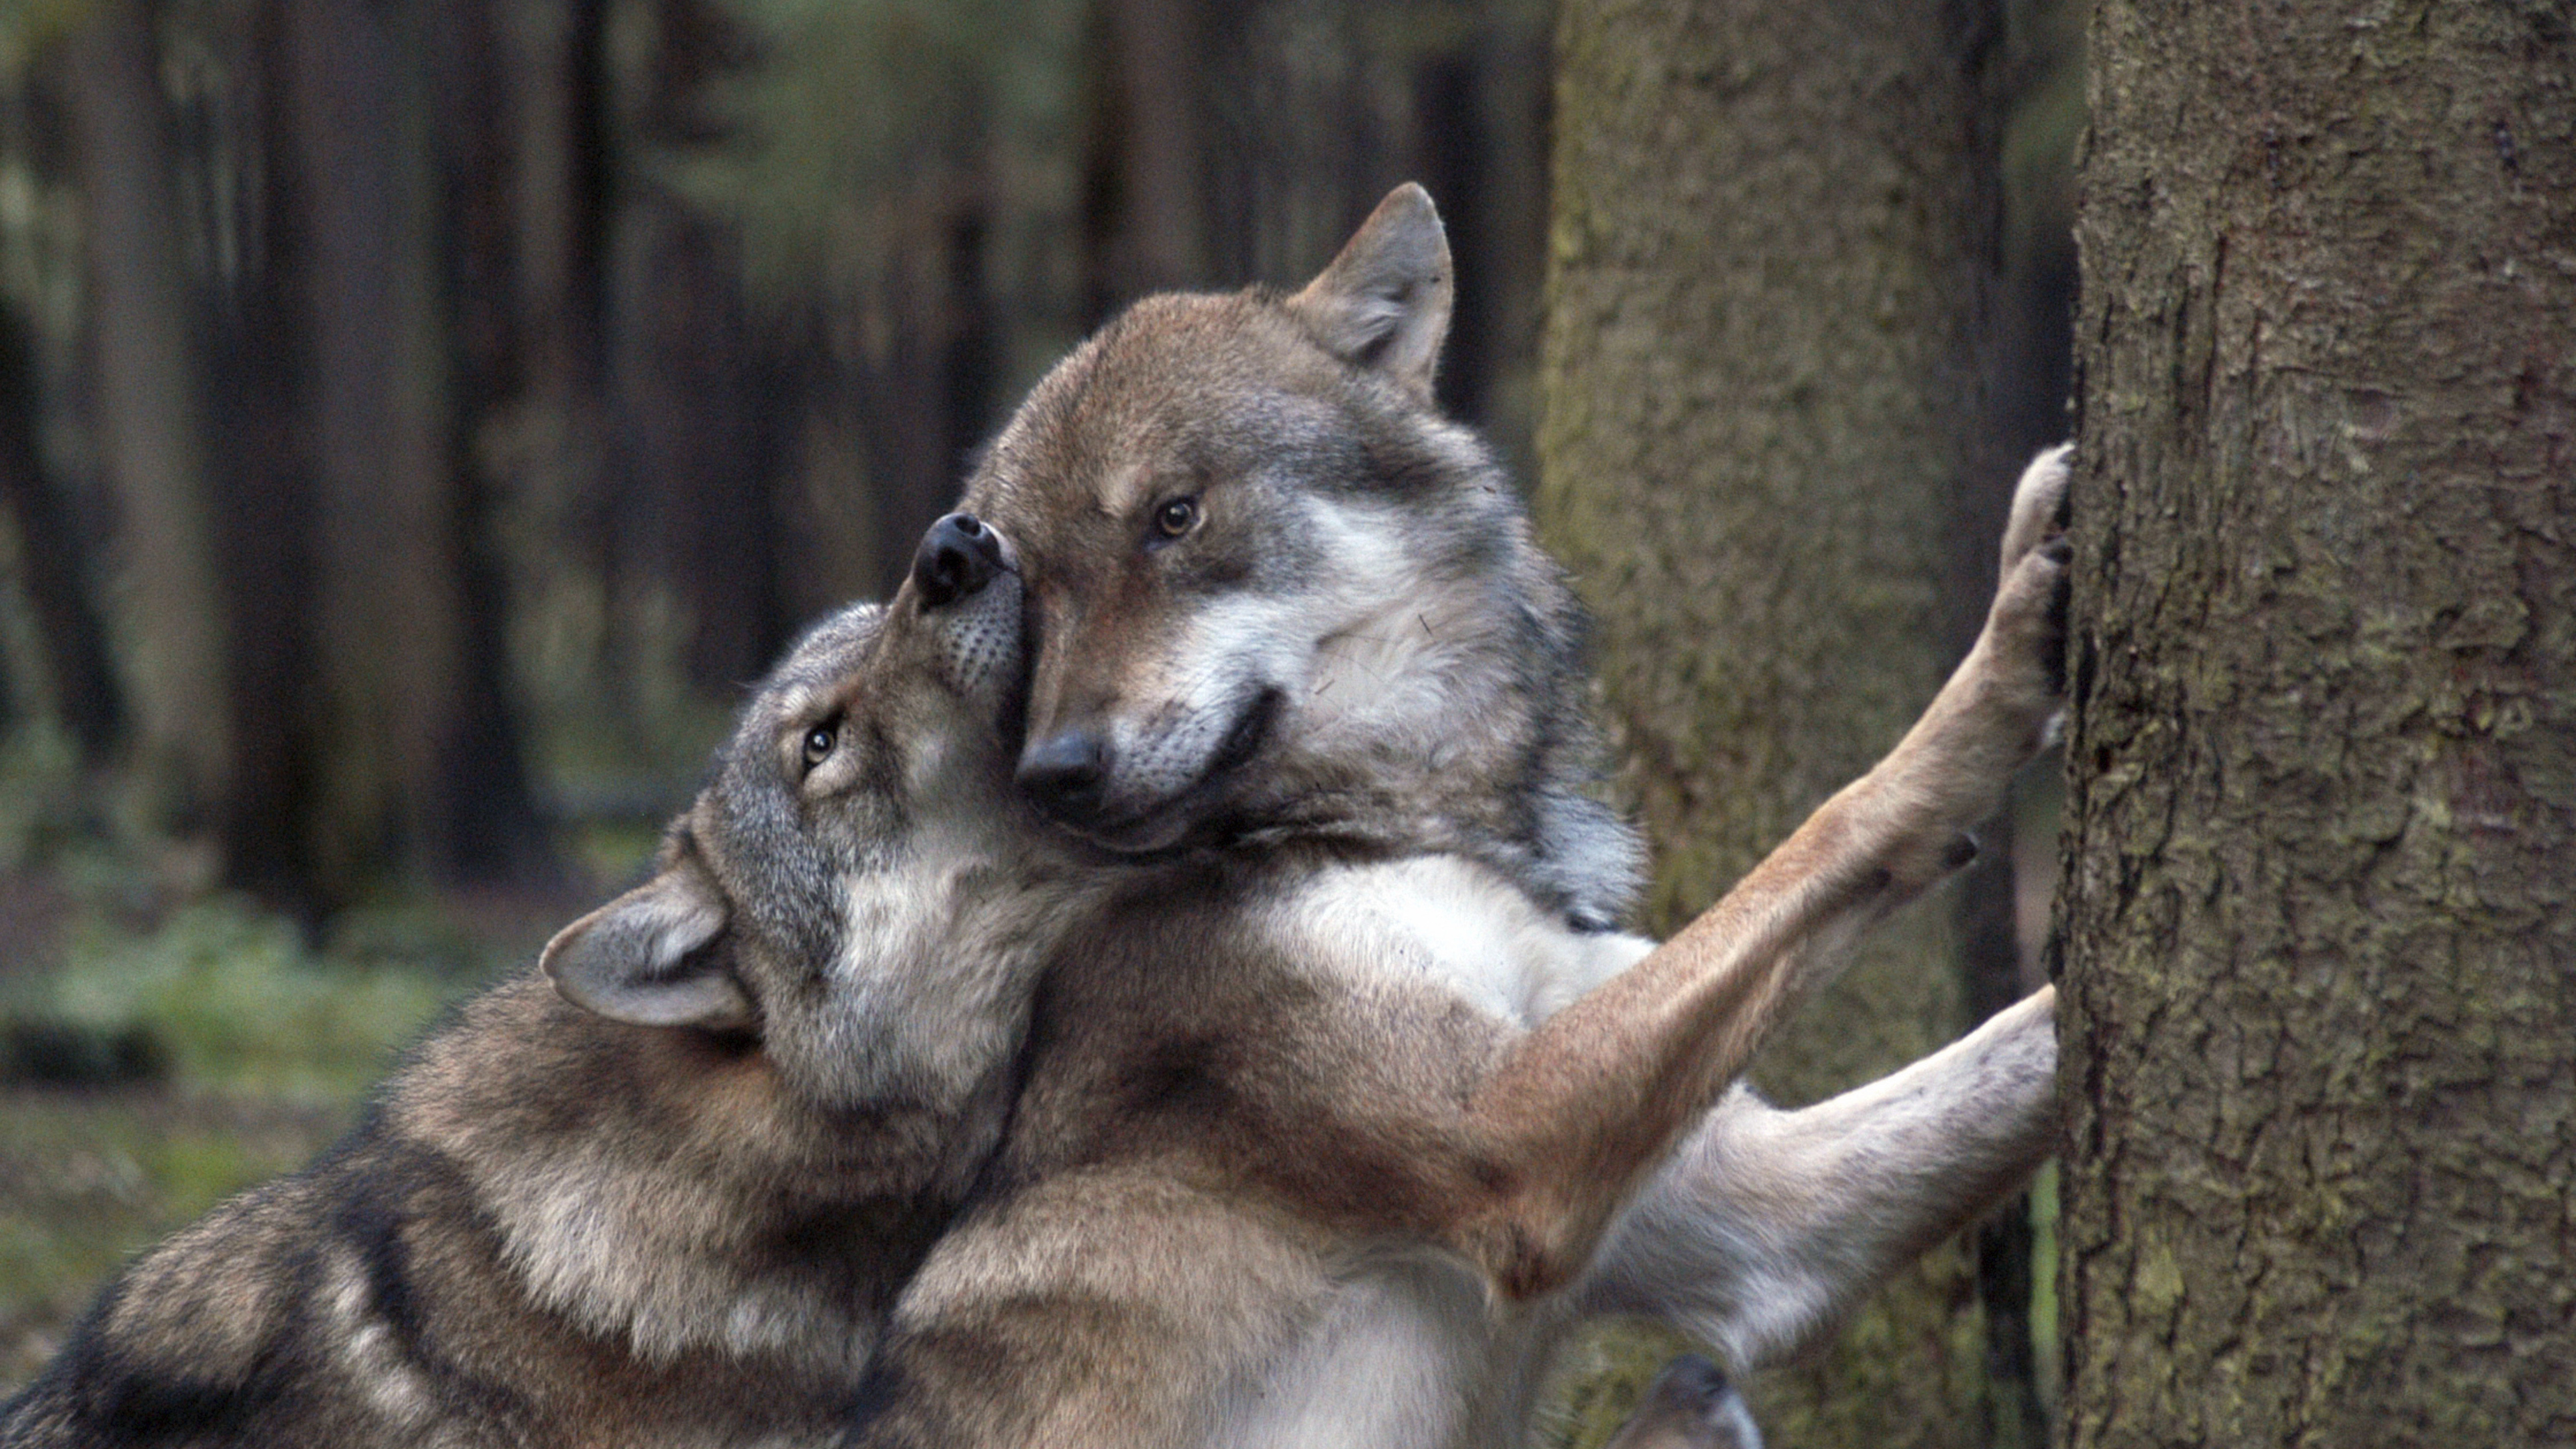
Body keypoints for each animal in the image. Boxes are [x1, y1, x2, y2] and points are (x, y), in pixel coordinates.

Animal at [855, 183, 2081, 1443]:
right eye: (1030, 588)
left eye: (1174, 518)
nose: (1053, 773)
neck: (1383, 836)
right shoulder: (1512, 1137)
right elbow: (1833, 823)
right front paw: (2004, 666)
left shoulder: (1764, 1228)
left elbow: (2011, 1034)